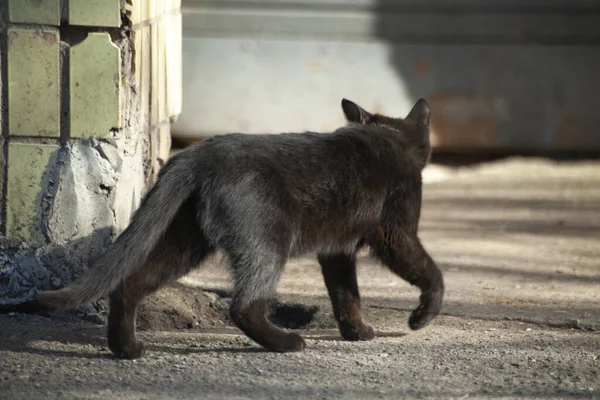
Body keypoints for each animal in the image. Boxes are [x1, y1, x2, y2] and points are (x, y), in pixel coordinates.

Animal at [36, 99, 440, 360]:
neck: (388, 137)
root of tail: (198, 154)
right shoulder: (396, 234)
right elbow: (430, 273)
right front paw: (421, 317)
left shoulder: (336, 252)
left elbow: (346, 294)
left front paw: (356, 332)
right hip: (269, 242)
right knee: (244, 305)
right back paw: (286, 343)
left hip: (186, 241)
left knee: (129, 284)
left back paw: (126, 349)